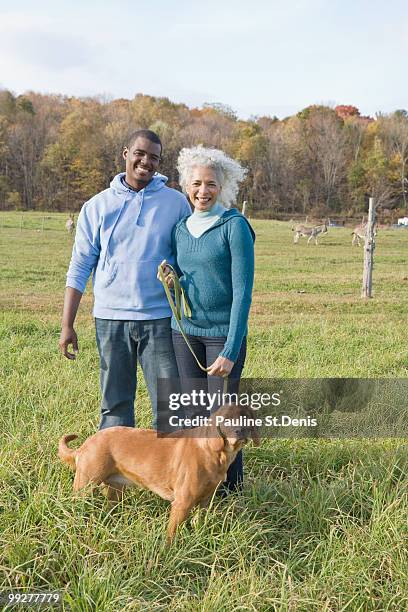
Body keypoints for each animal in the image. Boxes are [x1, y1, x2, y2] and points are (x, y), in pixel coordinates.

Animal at [58, 404, 258, 544]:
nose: (241, 431)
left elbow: (198, 522)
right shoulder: (182, 503)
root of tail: (86, 444)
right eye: (226, 419)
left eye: (246, 417)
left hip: (115, 490)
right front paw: (168, 551)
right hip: (84, 487)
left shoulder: (206, 501)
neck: (213, 452)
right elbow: (171, 534)